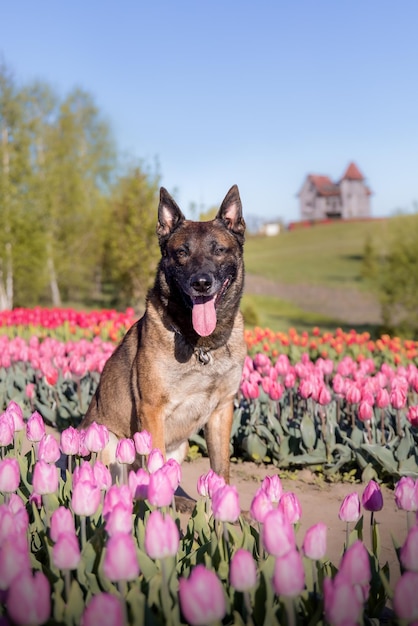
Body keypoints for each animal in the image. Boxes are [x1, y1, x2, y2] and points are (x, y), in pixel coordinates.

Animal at [79, 183, 245, 480]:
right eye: (181, 252)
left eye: (218, 250)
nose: (201, 283)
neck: (201, 345)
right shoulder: (152, 411)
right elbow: (155, 467)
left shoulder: (221, 411)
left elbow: (221, 469)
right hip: (109, 442)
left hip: (179, 447)